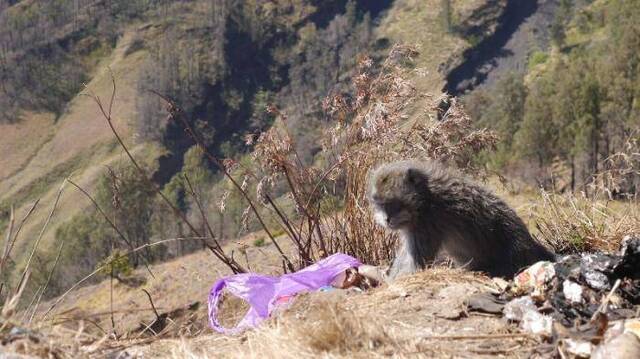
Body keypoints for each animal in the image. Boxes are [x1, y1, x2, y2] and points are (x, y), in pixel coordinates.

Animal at [368, 160, 556, 282]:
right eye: (380, 204)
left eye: (393, 204)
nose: (387, 218)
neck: (424, 199)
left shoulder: (427, 224)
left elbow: (416, 263)